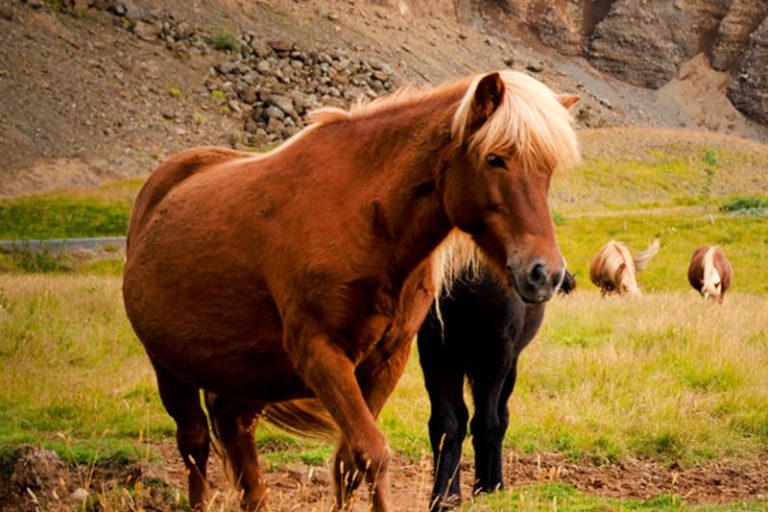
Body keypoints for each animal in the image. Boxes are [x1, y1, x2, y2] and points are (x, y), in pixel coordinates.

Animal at [418, 267, 575, 511]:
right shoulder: (435, 349)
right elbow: (446, 425)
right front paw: (443, 497)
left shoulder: (496, 352)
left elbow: (487, 424)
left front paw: (484, 490)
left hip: (509, 367)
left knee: (501, 418)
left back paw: (496, 485)